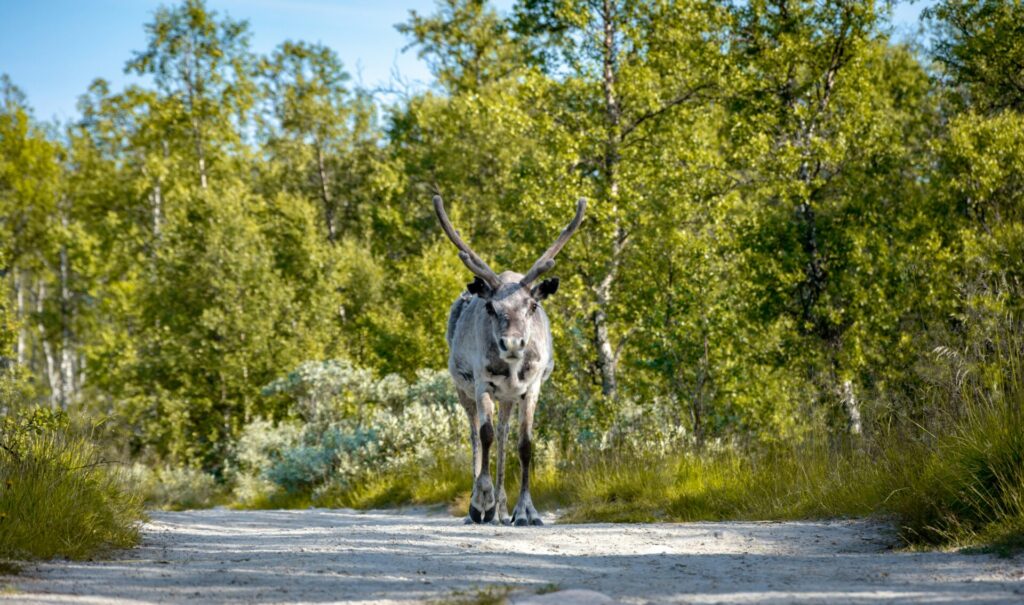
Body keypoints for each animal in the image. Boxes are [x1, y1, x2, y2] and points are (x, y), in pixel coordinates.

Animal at [434, 195, 585, 526]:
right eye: (491, 307)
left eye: (532, 305)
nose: (513, 342)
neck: (513, 368)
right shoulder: (482, 383)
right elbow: (485, 435)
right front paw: (481, 502)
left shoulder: (531, 387)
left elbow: (525, 444)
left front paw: (525, 510)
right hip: (463, 388)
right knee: (476, 434)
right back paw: (481, 509)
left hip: (507, 398)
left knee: (504, 434)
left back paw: (502, 510)